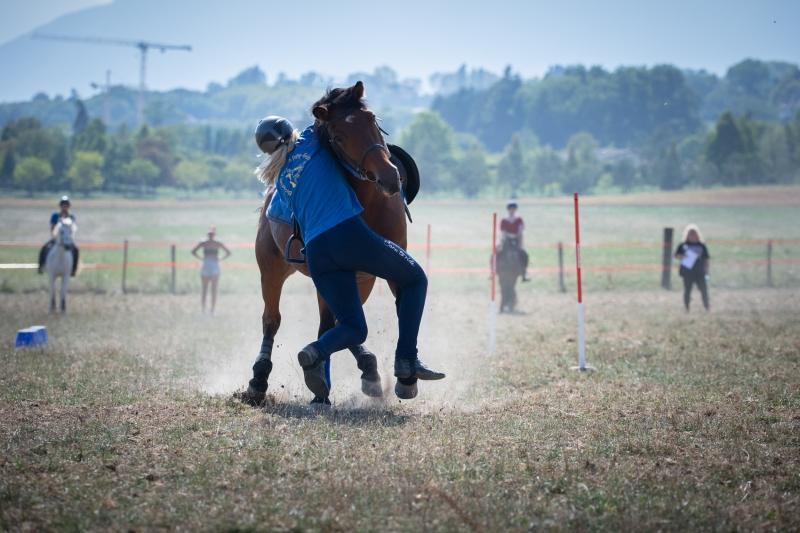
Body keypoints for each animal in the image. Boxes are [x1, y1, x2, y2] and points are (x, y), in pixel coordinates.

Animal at [242, 80, 406, 404]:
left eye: (372, 119)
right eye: (339, 137)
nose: (389, 177)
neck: (367, 206)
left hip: (357, 280)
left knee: (338, 323)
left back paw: (361, 372)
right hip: (272, 269)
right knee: (272, 319)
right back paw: (260, 379)